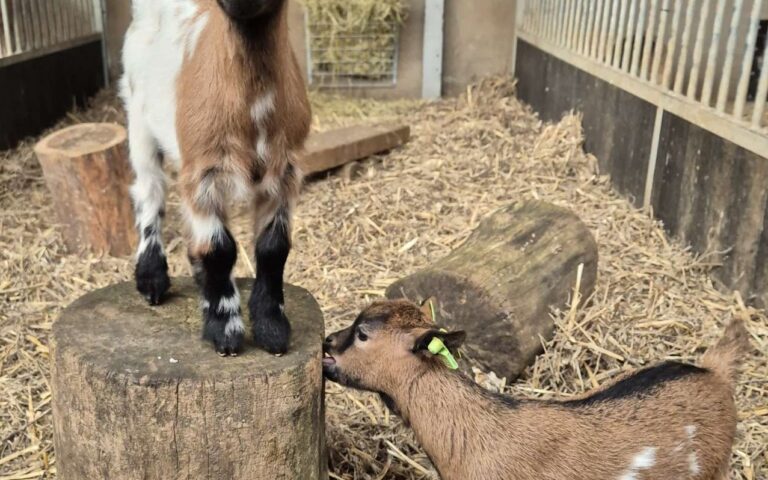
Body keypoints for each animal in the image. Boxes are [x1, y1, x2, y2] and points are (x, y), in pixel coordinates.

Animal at [121, 0, 310, 356]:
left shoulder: (285, 172)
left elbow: (273, 247)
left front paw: (272, 326)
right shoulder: (203, 171)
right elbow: (219, 249)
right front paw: (225, 329)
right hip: (137, 116)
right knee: (149, 191)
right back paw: (151, 279)